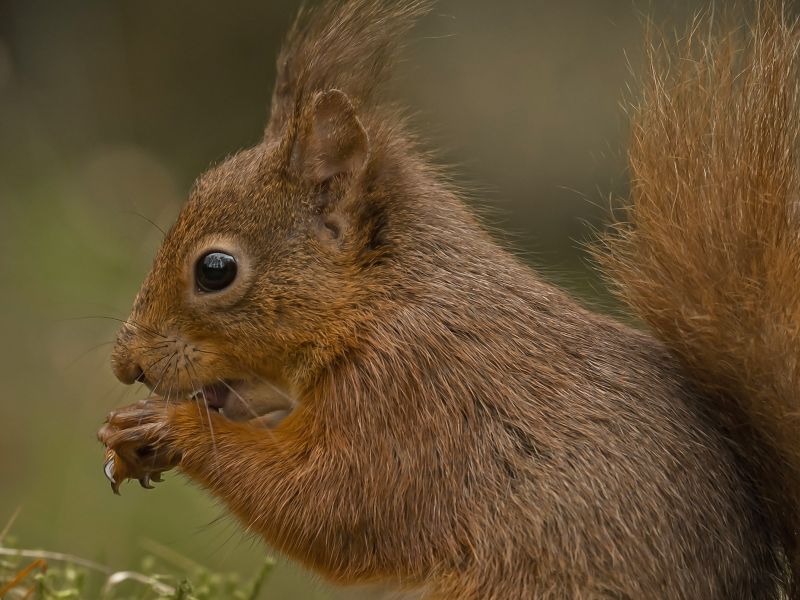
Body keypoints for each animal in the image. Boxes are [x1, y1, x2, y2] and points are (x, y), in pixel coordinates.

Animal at [97, 0, 800, 596]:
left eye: (215, 270)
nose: (126, 364)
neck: (381, 302)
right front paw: (129, 434)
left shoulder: (414, 395)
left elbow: (331, 509)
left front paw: (171, 426)